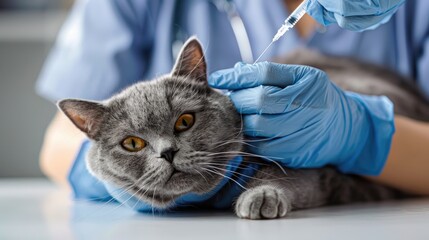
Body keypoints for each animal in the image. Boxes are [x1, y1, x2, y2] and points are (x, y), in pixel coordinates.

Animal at [58, 37, 426, 219]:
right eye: (132, 143)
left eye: (184, 121)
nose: (168, 153)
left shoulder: (310, 169)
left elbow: (282, 176)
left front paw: (260, 197)